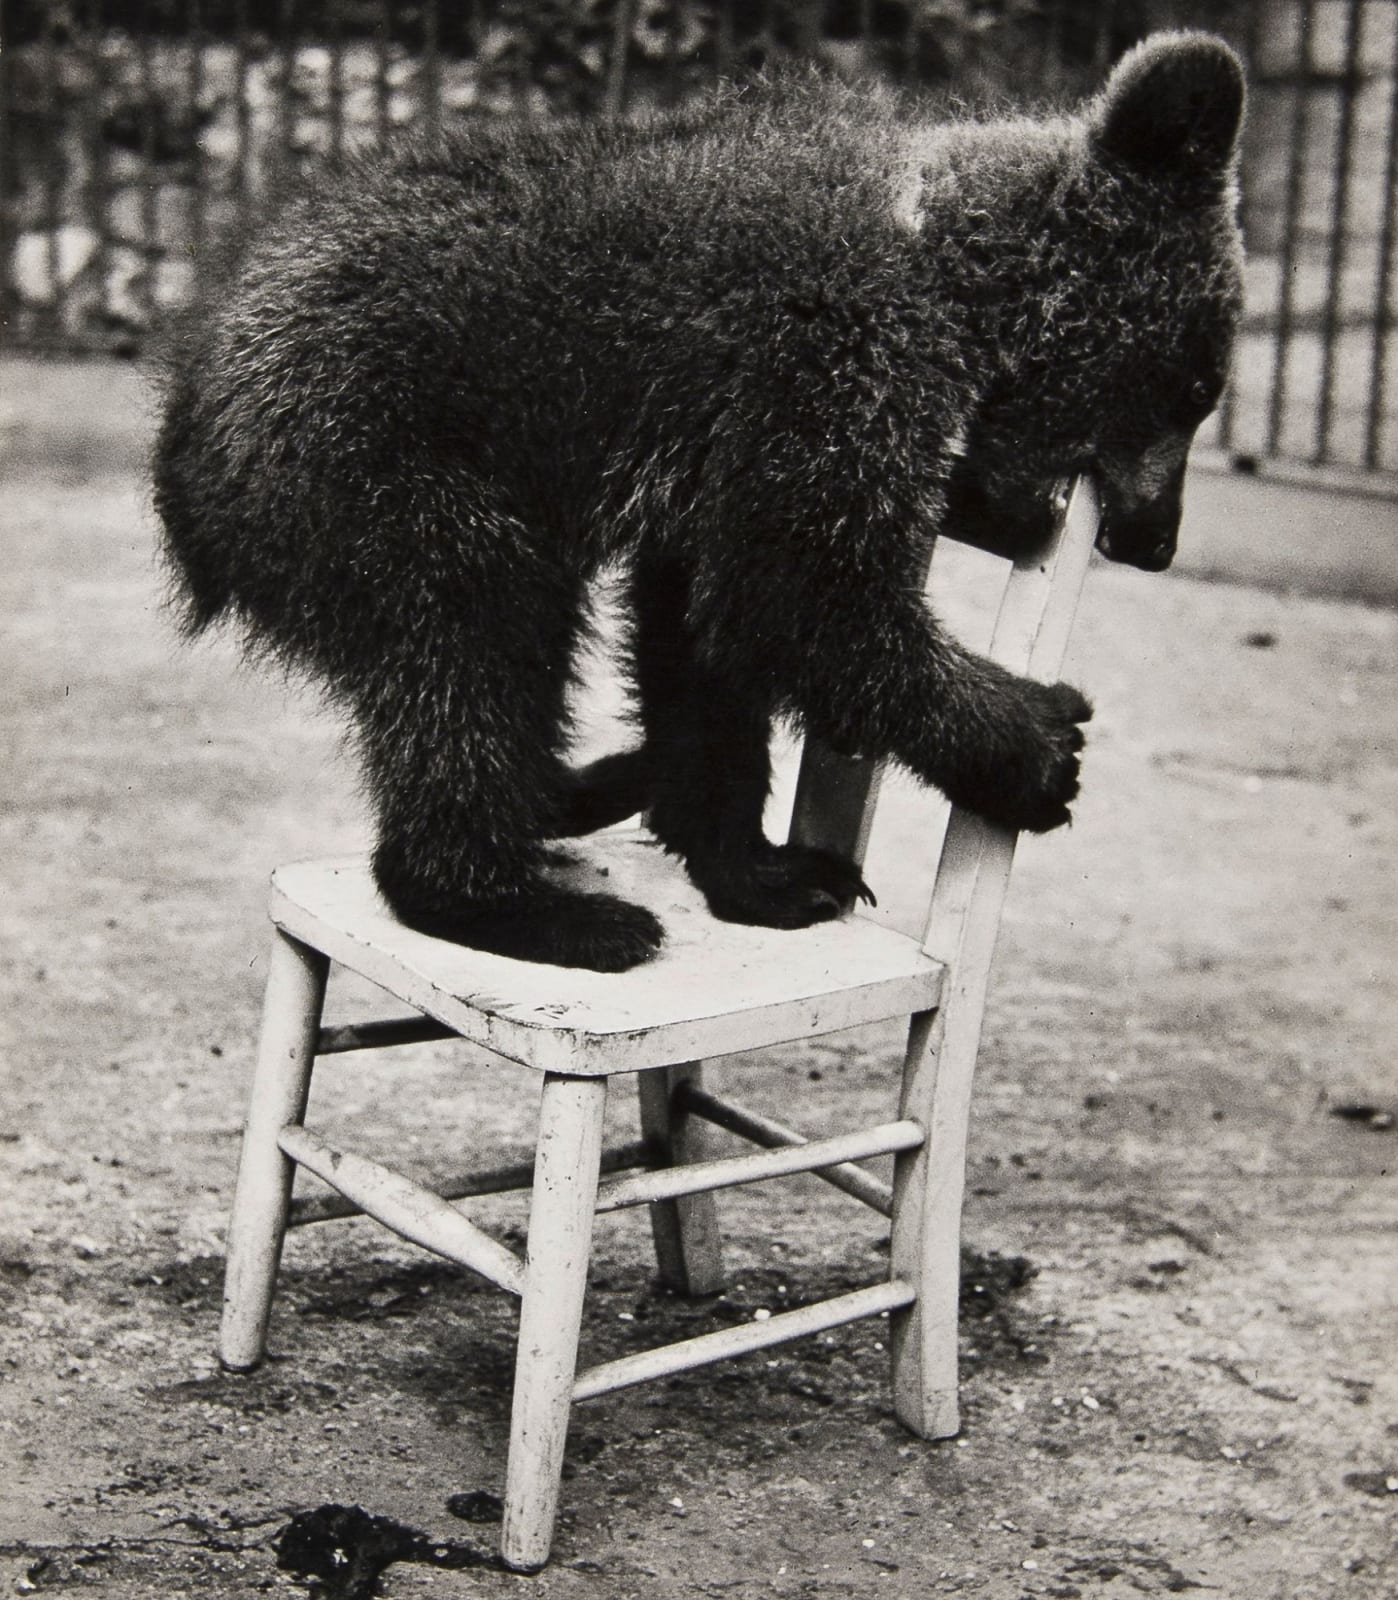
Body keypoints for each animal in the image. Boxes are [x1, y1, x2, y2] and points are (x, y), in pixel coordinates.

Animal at [153, 30, 1245, 972]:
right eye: (1198, 386)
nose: (1154, 540)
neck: (950, 273)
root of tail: (188, 414)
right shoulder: (821, 355)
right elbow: (807, 598)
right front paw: (1036, 739)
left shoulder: (718, 452)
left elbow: (705, 640)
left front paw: (761, 866)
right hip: (374, 464)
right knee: (471, 638)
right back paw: (523, 903)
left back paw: (585, 787)